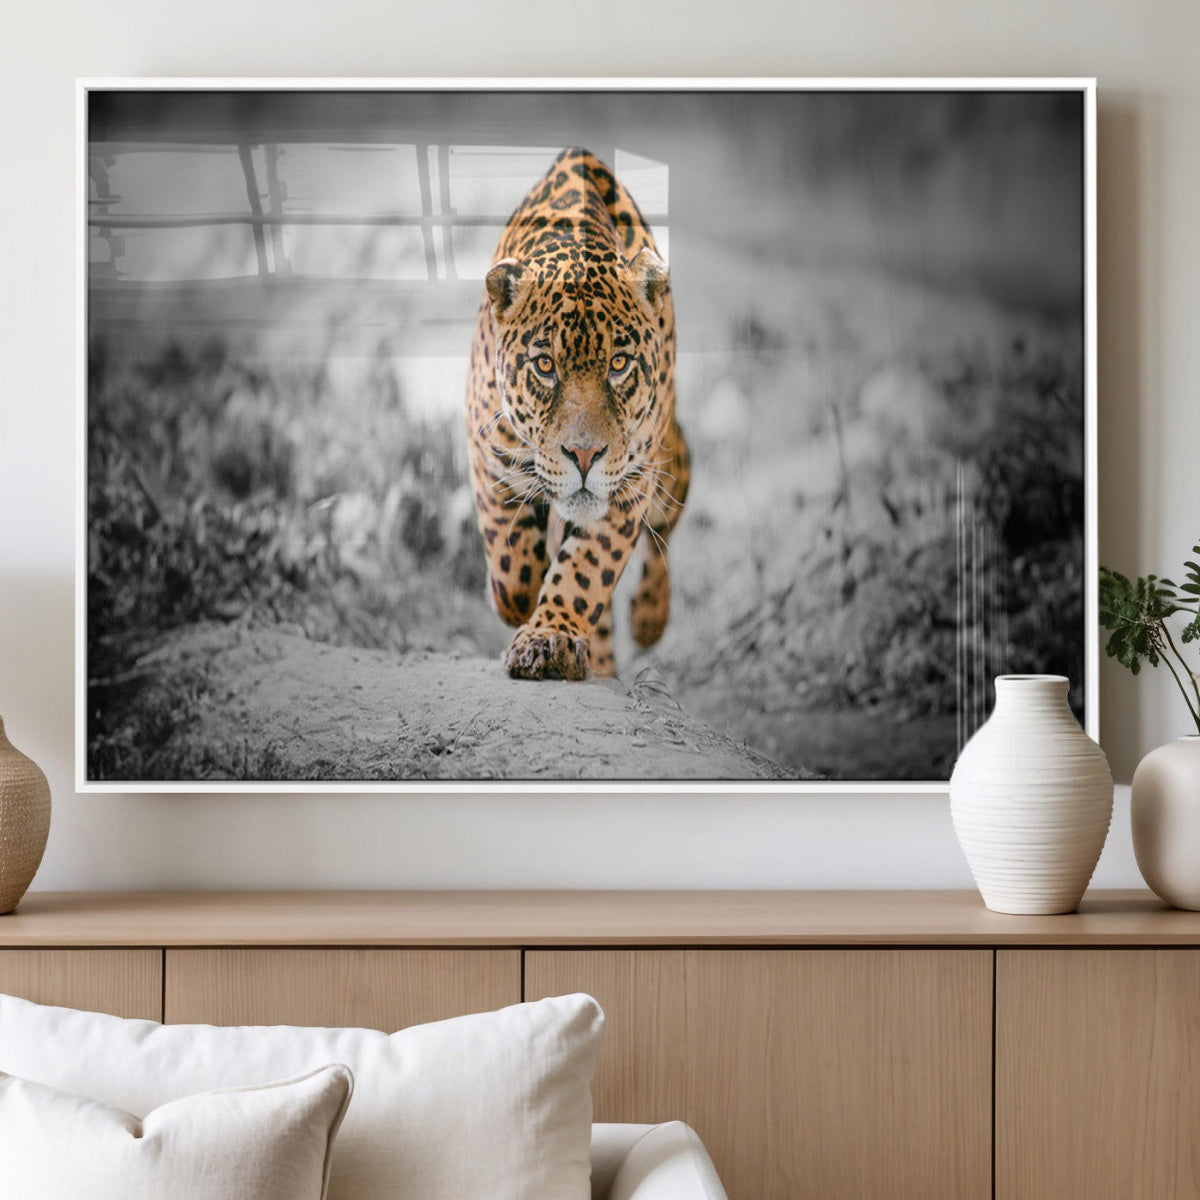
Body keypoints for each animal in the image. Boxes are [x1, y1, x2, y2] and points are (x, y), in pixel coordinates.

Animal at [464, 146, 690, 681]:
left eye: (619, 364)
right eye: (545, 366)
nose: (584, 456)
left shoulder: (630, 483)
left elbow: (586, 570)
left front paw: (550, 638)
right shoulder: (487, 453)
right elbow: (511, 562)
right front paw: (518, 605)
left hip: (670, 463)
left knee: (666, 528)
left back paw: (648, 619)